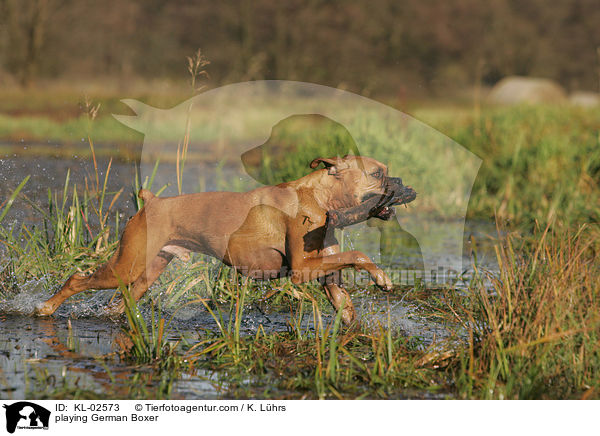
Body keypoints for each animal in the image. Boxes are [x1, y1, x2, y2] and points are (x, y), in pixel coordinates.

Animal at [35, 156, 414, 324]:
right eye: (376, 173)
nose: (399, 183)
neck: (318, 196)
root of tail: (152, 201)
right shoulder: (302, 269)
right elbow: (361, 253)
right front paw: (382, 278)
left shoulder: (327, 274)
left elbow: (345, 300)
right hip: (124, 267)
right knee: (76, 279)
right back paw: (45, 308)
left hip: (147, 271)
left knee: (123, 299)